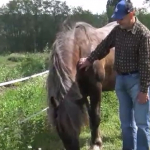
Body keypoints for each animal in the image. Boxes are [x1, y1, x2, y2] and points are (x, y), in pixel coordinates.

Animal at [46, 20, 118, 149]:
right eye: (59, 128)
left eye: (76, 125)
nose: (73, 148)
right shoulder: (81, 94)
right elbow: (90, 116)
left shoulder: (96, 89)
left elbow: (95, 117)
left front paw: (96, 143)